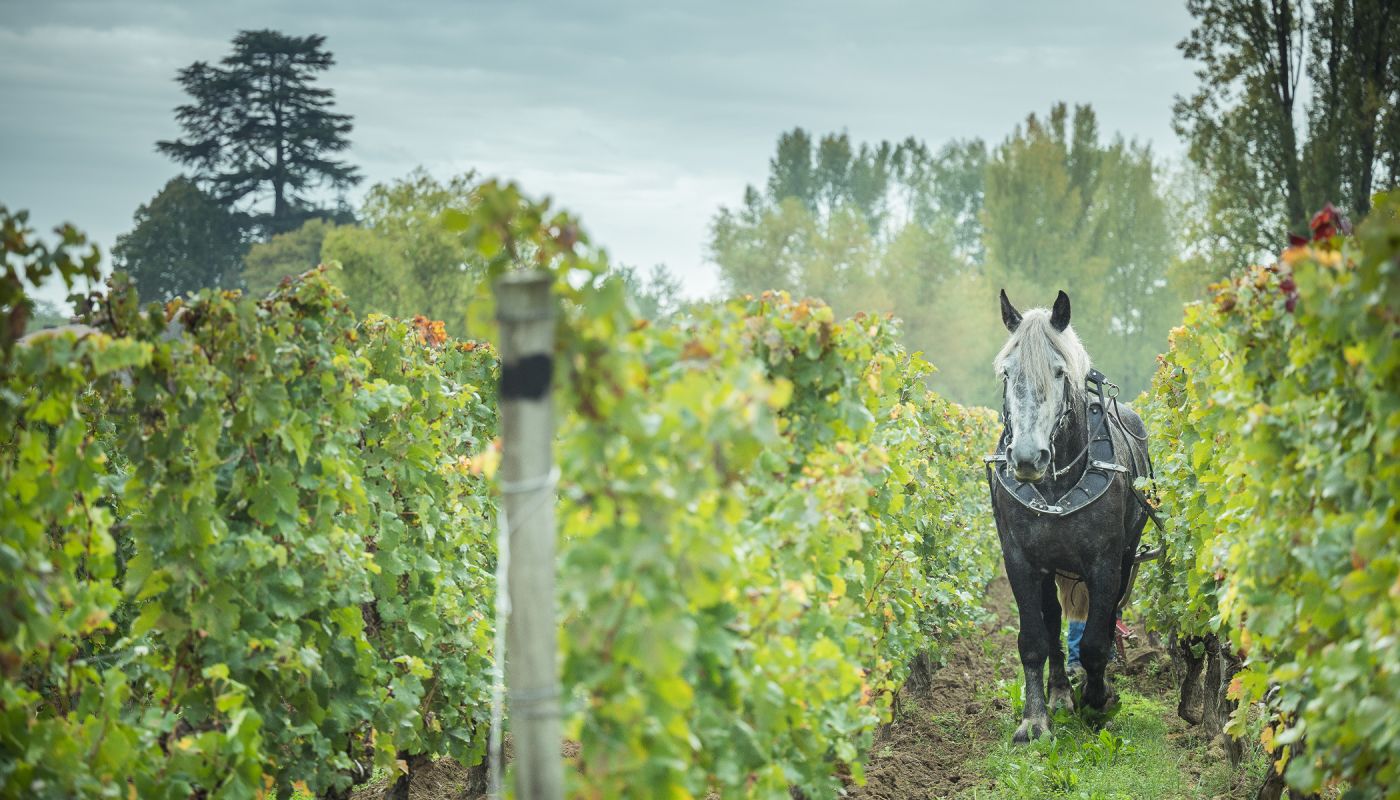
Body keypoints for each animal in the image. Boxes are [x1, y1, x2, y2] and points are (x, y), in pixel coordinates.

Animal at [986, 289, 1152, 743]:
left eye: (1059, 373)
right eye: (1007, 372)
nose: (1027, 458)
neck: (1055, 488)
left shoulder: (1106, 562)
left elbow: (1096, 640)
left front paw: (1098, 701)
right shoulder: (1020, 560)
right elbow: (1034, 639)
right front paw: (1035, 719)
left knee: (1105, 622)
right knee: (1053, 621)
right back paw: (1060, 693)